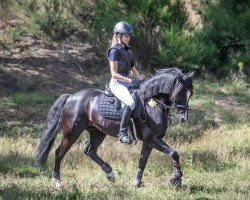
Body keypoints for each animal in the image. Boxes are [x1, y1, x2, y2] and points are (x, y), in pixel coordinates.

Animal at [35, 68, 195, 188]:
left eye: (190, 93)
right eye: (181, 93)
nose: (183, 118)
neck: (152, 105)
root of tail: (71, 97)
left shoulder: (149, 141)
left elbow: (143, 161)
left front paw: (137, 182)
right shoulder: (152, 139)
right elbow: (174, 153)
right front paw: (176, 179)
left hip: (98, 132)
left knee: (90, 151)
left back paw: (110, 173)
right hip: (72, 132)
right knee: (59, 152)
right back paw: (57, 181)